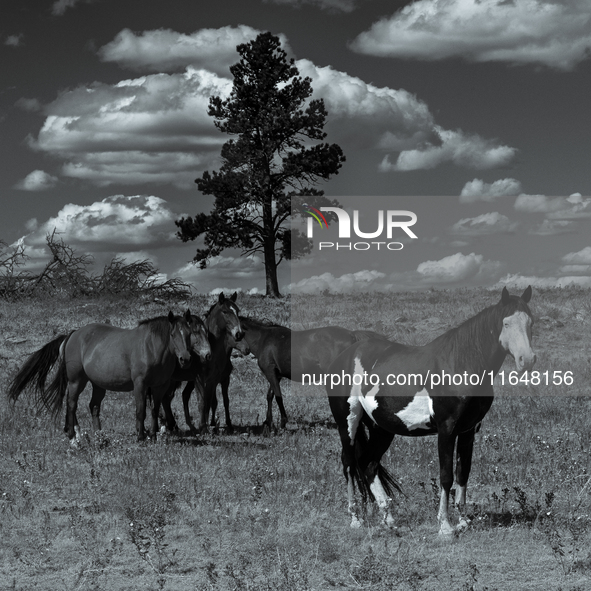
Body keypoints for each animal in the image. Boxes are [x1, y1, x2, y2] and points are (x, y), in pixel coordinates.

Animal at [7, 310, 194, 444]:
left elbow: (155, 410)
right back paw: (73, 437)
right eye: (173, 334)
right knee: (72, 404)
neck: (150, 347)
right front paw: (141, 437)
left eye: (189, 333)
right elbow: (141, 410)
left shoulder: (160, 386)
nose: (185, 359)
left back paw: (99, 435)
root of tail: (72, 334)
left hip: (98, 384)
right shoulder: (140, 385)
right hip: (77, 381)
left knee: (93, 407)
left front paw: (153, 436)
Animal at [158, 292, 249, 434]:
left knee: (166, 399)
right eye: (225, 311)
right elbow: (202, 401)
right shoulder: (199, 378)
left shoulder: (213, 380)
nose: (239, 333)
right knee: (164, 398)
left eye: (237, 311)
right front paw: (204, 427)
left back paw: (173, 426)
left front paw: (209, 426)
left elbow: (210, 401)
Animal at [328, 286, 536, 536]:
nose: (527, 360)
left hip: (382, 428)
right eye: (506, 323)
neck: (459, 364)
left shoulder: (468, 431)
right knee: (349, 464)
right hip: (348, 422)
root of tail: (345, 357)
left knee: (368, 464)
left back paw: (389, 519)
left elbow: (463, 474)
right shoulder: (446, 430)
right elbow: (446, 476)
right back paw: (355, 519)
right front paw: (445, 526)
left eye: (530, 322)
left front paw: (463, 522)